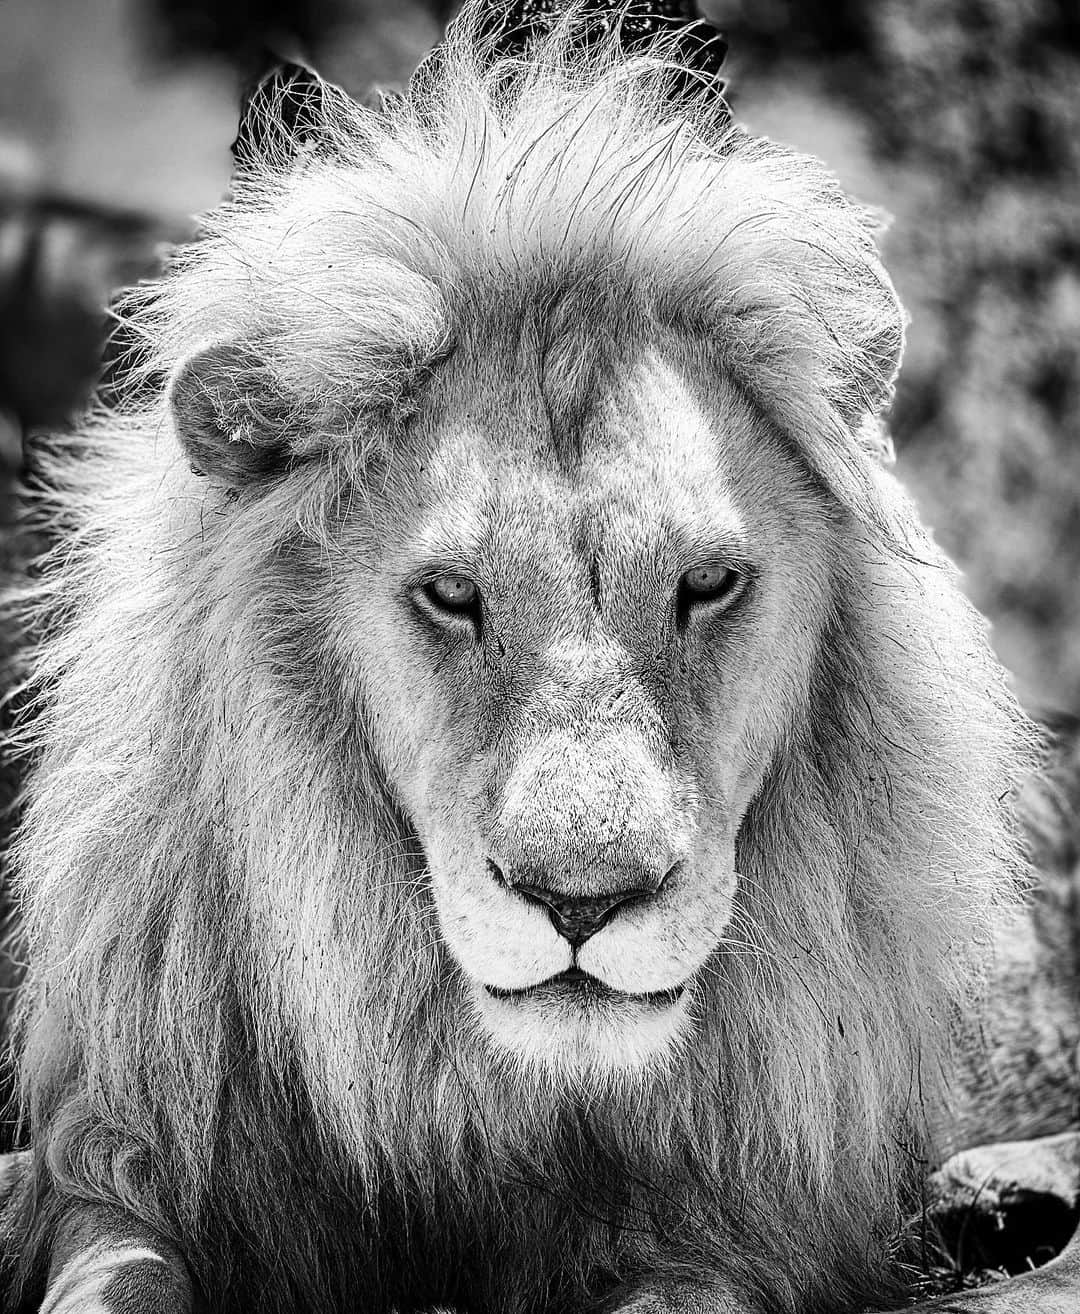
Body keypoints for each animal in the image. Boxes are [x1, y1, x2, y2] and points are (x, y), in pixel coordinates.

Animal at [0, 7, 1072, 1314]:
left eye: (707, 585)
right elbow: (115, 1275)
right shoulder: (120, 1162)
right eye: (452, 596)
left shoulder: (734, 1230)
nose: (582, 902)